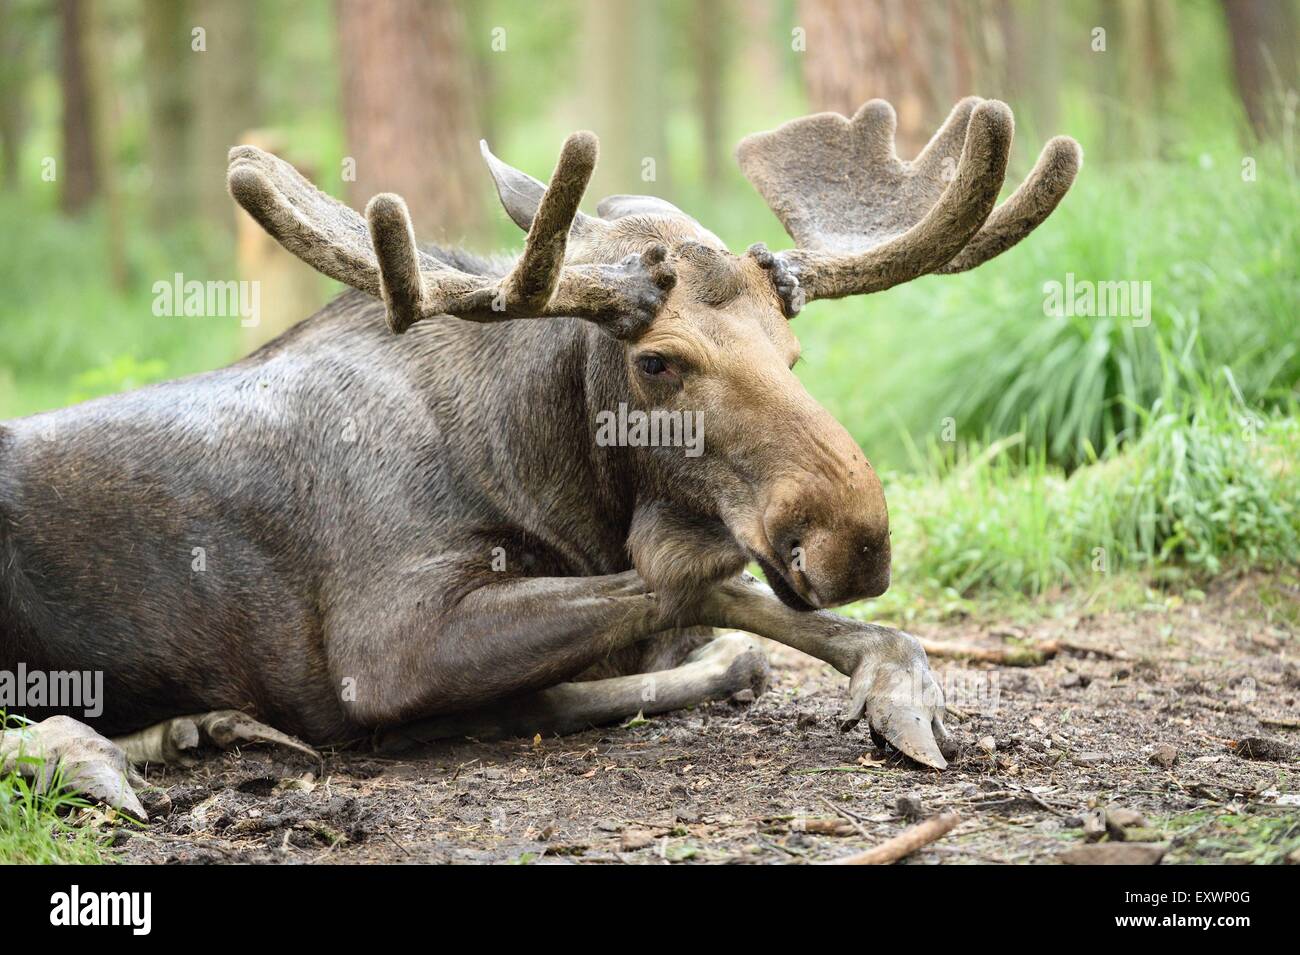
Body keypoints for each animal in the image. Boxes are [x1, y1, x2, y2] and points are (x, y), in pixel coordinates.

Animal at [0, 97, 1076, 815]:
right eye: (656, 360)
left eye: (792, 350)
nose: (853, 539)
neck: (549, 477)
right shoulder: (383, 645)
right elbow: (674, 580)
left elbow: (745, 616)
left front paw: (894, 682)